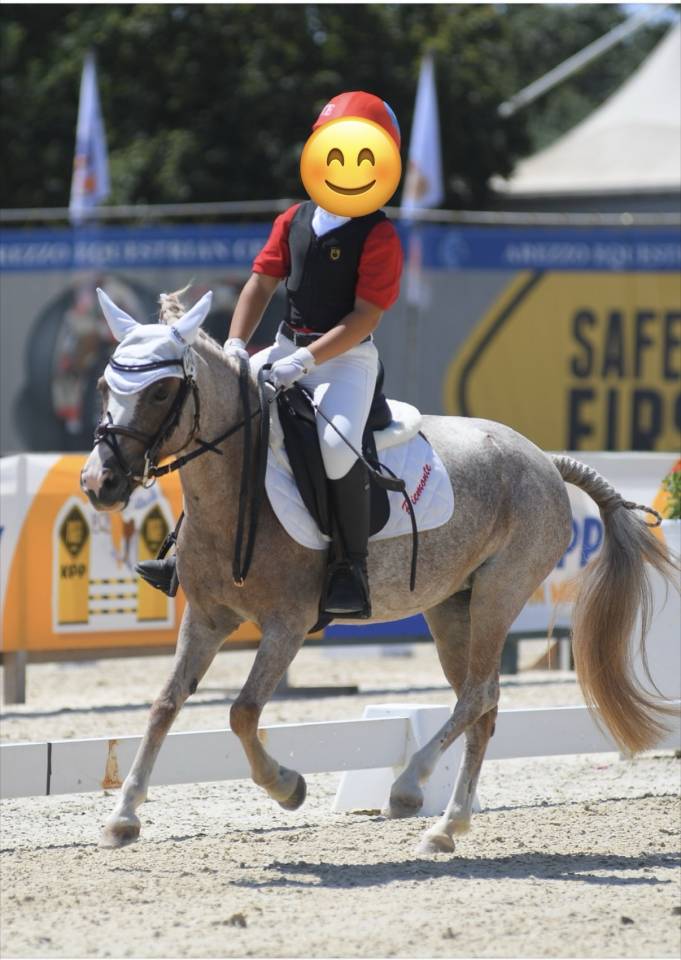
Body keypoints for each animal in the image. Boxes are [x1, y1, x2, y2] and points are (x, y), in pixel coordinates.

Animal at [80, 287, 677, 855]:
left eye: (160, 392)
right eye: (106, 386)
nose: (98, 483)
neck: (236, 490)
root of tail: (544, 460)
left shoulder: (287, 624)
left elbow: (243, 712)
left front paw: (288, 787)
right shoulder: (207, 618)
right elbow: (164, 705)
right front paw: (122, 818)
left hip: (499, 593)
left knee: (478, 693)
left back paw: (413, 791)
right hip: (451, 606)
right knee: (481, 703)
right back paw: (450, 825)